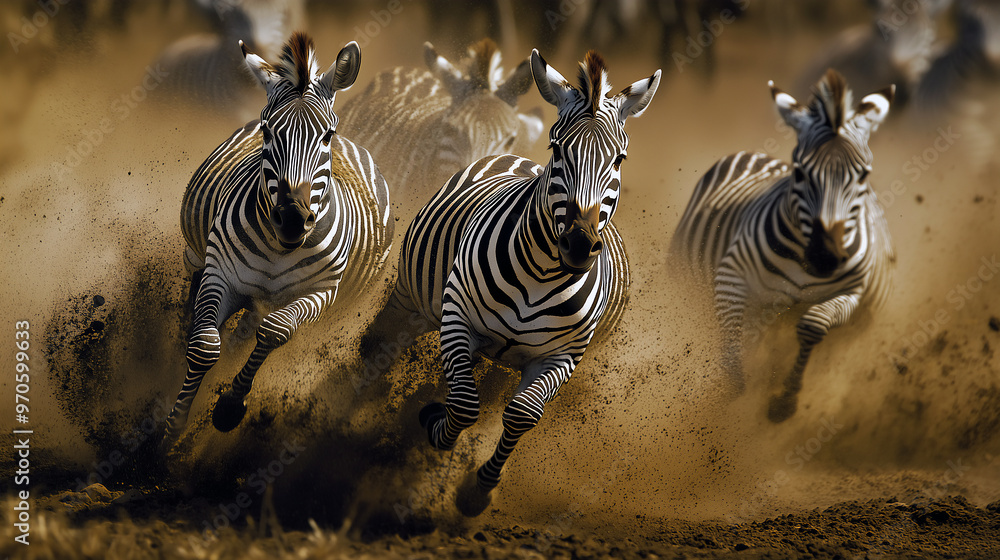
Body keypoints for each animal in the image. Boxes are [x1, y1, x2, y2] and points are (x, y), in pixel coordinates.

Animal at [161, 32, 393, 448]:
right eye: (268, 131)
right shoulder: (220, 272)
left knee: (248, 332)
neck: (278, 250)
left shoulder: (321, 293)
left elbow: (275, 332)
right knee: (199, 302)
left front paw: (229, 406)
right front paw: (173, 426)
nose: (292, 219)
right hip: (198, 254)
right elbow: (204, 345)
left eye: (327, 135)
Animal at [363, 49, 660, 515]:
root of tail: (521, 160)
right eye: (558, 149)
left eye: (619, 160)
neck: (541, 275)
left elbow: (521, 414)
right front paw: (434, 424)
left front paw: (478, 490)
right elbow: (464, 406)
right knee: (379, 347)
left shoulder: (562, 357)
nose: (579, 243)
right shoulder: (457, 317)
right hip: (415, 300)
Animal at [671, 69, 895, 423]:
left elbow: (813, 325)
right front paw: (727, 392)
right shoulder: (730, 276)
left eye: (863, 176)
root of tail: (758, 154)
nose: (825, 257)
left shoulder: (852, 294)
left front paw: (785, 400)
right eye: (801, 173)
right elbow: (733, 335)